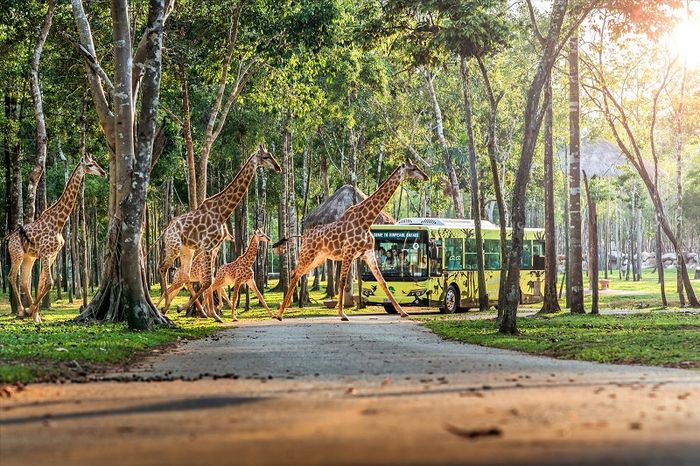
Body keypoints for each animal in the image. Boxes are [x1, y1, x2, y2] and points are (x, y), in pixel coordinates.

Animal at [6, 155, 106, 322]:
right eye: (91, 165)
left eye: (97, 163)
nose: (104, 173)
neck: (59, 223)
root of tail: (8, 239)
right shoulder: (45, 254)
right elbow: (50, 282)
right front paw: (30, 310)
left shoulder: (52, 255)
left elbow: (42, 283)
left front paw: (35, 315)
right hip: (17, 254)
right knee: (12, 277)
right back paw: (20, 309)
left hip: (29, 257)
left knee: (24, 281)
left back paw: (30, 313)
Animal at [157, 146, 280, 316]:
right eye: (266, 157)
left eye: (271, 155)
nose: (278, 167)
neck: (222, 213)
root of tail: (166, 230)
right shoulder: (208, 246)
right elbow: (209, 281)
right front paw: (211, 312)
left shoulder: (213, 246)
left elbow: (209, 281)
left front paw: (205, 311)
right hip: (173, 246)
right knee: (163, 267)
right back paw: (165, 306)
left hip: (187, 250)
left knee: (184, 275)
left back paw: (170, 306)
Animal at [276, 160, 430, 320]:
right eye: (414, 168)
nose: (426, 177)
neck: (366, 220)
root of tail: (303, 235)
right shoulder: (348, 252)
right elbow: (342, 282)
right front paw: (342, 313)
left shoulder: (368, 253)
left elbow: (383, 282)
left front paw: (403, 312)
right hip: (307, 254)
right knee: (295, 274)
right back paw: (280, 314)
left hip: (318, 258)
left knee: (297, 274)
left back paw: (282, 310)